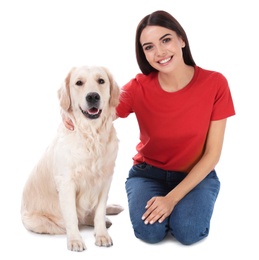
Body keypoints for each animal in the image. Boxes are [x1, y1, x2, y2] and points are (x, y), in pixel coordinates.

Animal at [20, 65, 124, 252]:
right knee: (77, 220)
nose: (93, 96)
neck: (91, 135)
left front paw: (102, 235)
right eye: (79, 83)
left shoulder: (106, 178)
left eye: (101, 81)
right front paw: (75, 240)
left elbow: (99, 212)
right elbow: (73, 217)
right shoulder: (66, 182)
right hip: (38, 222)